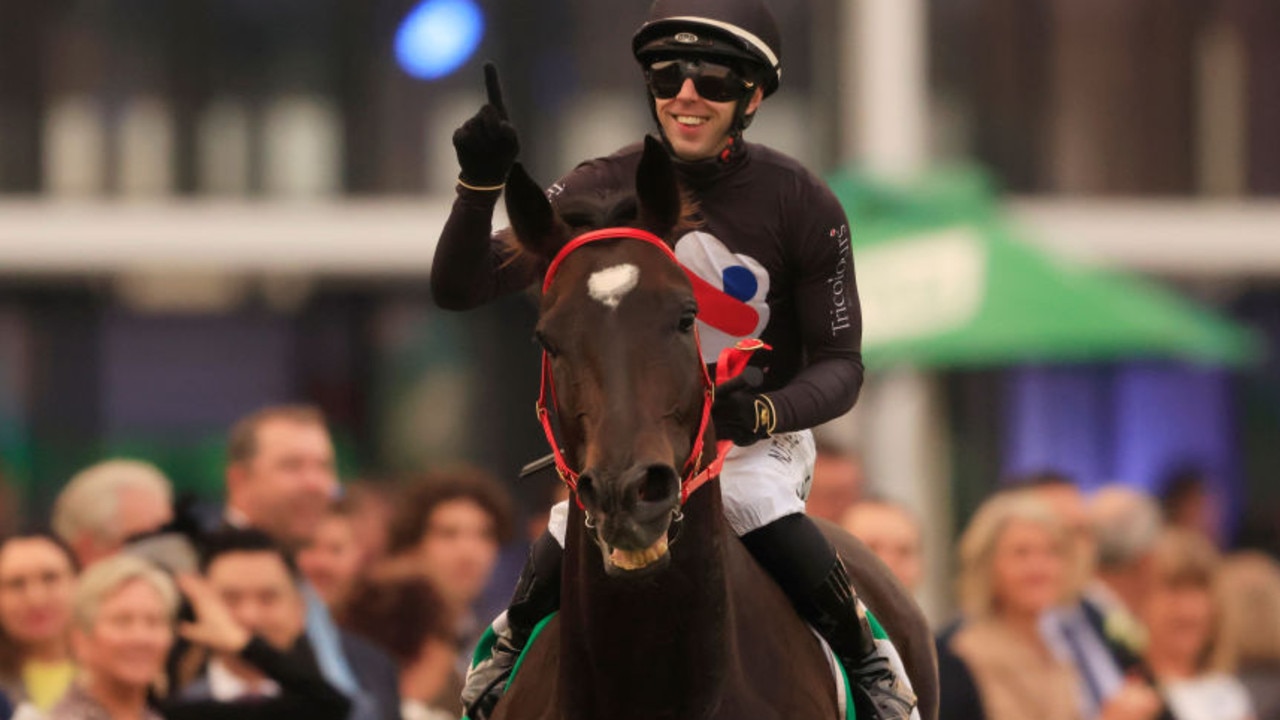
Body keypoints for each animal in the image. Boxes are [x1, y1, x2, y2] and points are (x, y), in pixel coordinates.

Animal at [483, 135, 936, 717]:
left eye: (685, 316)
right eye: (547, 338)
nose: (626, 493)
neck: (654, 690)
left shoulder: (821, 219)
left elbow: (840, 358)